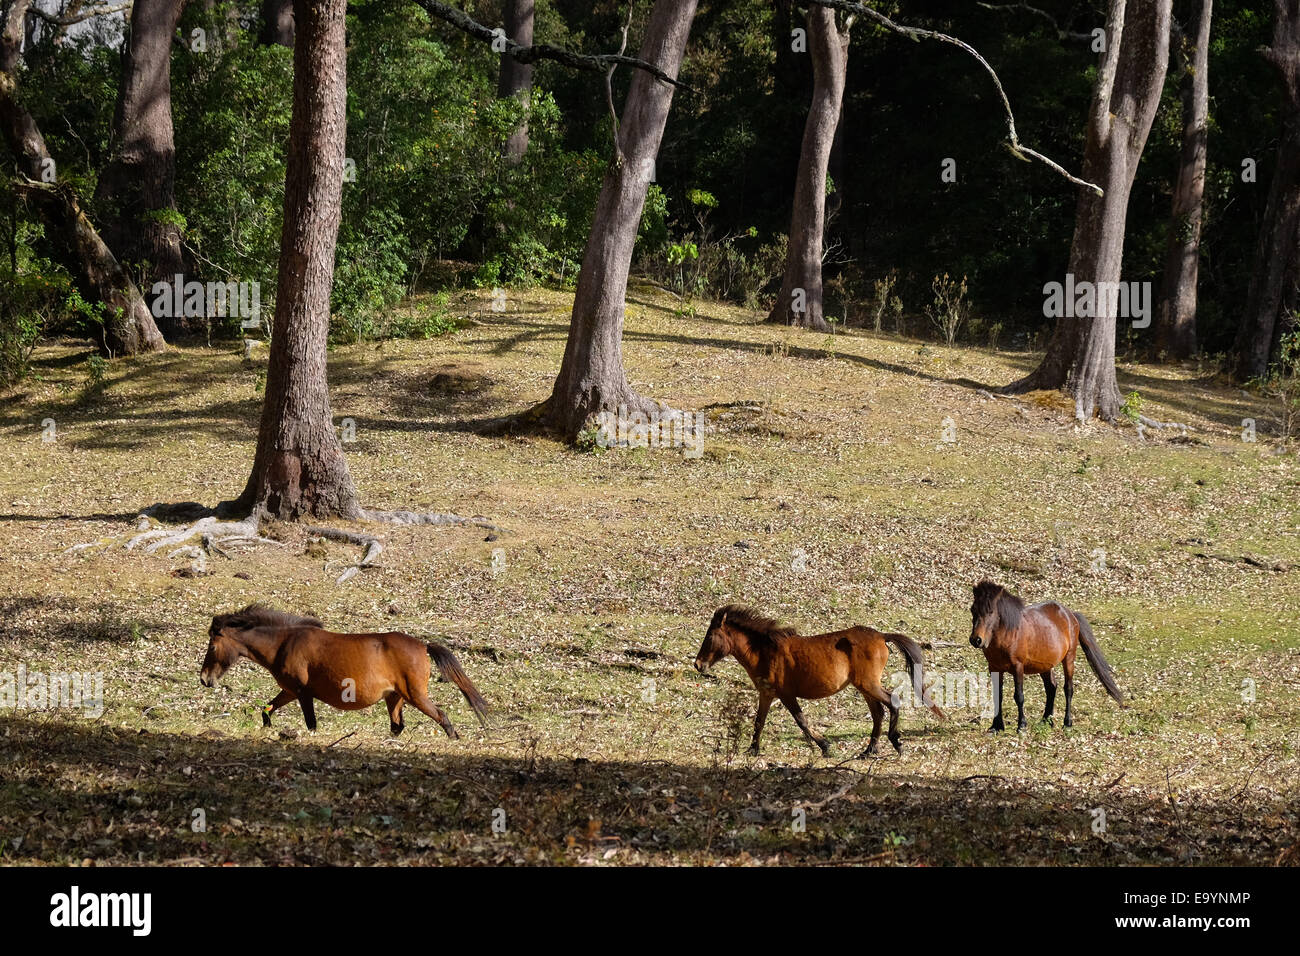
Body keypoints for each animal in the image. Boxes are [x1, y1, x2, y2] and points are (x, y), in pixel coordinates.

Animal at [197, 606, 488, 738]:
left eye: (212, 645)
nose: (204, 679)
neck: (284, 644)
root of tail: (423, 645)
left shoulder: (302, 692)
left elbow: (311, 723)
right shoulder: (289, 691)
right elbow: (266, 710)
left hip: (415, 696)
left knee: (442, 717)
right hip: (395, 698)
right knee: (397, 727)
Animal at [696, 608, 941, 759]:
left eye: (710, 637)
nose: (698, 664)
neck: (766, 652)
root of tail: (881, 636)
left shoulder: (785, 695)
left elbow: (801, 721)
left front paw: (825, 746)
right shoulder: (766, 694)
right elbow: (759, 721)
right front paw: (752, 750)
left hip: (868, 684)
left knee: (892, 702)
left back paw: (895, 743)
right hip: (864, 687)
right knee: (878, 712)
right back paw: (869, 751)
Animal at [972, 582, 1123, 733]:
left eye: (991, 611)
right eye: (972, 610)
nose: (976, 640)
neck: (1008, 633)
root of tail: (1070, 615)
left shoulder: (1018, 667)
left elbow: (1019, 696)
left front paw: (1022, 726)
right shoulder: (994, 668)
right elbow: (997, 695)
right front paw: (996, 726)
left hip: (1069, 659)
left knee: (1068, 689)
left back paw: (1067, 723)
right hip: (1045, 665)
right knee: (1051, 687)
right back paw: (1046, 720)